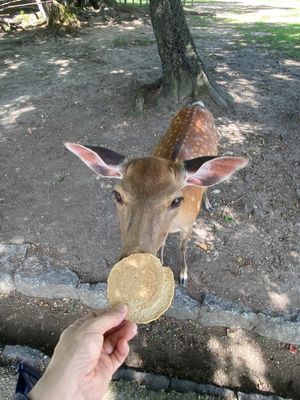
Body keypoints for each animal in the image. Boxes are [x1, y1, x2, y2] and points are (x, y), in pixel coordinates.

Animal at [65, 101, 248, 286]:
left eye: (176, 200)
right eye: (117, 194)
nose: (134, 263)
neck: (175, 224)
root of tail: (198, 104)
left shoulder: (189, 224)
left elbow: (183, 246)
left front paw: (183, 275)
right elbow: (163, 242)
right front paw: (161, 262)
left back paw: (209, 205)